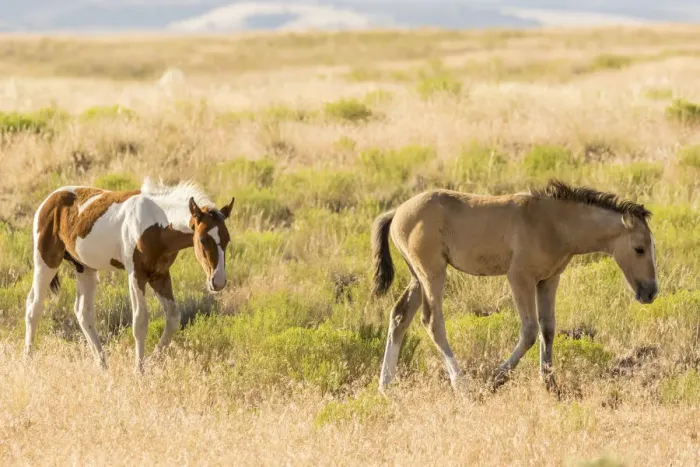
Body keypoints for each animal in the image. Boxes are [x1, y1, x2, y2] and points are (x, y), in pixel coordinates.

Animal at [24, 177, 235, 373]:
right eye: (202, 239)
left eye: (227, 239)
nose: (218, 281)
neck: (157, 223)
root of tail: (50, 199)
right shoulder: (136, 274)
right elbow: (140, 321)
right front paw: (139, 370)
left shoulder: (159, 275)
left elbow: (173, 318)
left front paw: (151, 362)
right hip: (46, 261)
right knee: (34, 305)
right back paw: (28, 360)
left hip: (85, 268)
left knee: (83, 312)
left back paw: (103, 365)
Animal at [371, 179, 658, 393]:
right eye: (639, 248)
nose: (651, 292)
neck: (553, 222)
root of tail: (396, 212)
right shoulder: (520, 277)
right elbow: (530, 330)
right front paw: (495, 380)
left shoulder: (549, 279)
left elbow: (548, 329)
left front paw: (551, 385)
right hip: (433, 274)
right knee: (432, 321)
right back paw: (462, 386)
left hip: (417, 278)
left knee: (399, 316)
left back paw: (386, 387)